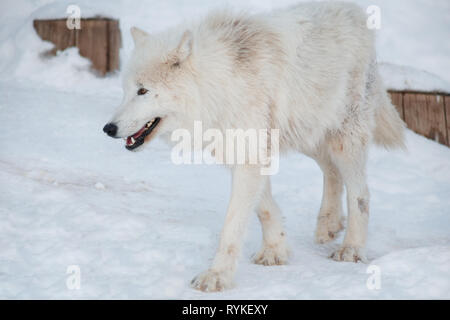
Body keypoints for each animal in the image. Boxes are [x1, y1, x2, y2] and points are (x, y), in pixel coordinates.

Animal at [104, 1, 404, 292]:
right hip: (307, 134)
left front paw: (217, 276)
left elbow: (232, 225)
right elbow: (265, 208)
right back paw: (328, 226)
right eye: (125, 90)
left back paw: (350, 248)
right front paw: (275, 250)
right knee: (331, 172)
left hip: (343, 139)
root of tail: (355, 11)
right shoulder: (244, 153)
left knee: (361, 194)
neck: (218, 85)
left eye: (143, 91)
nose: (109, 129)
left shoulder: (249, 156)